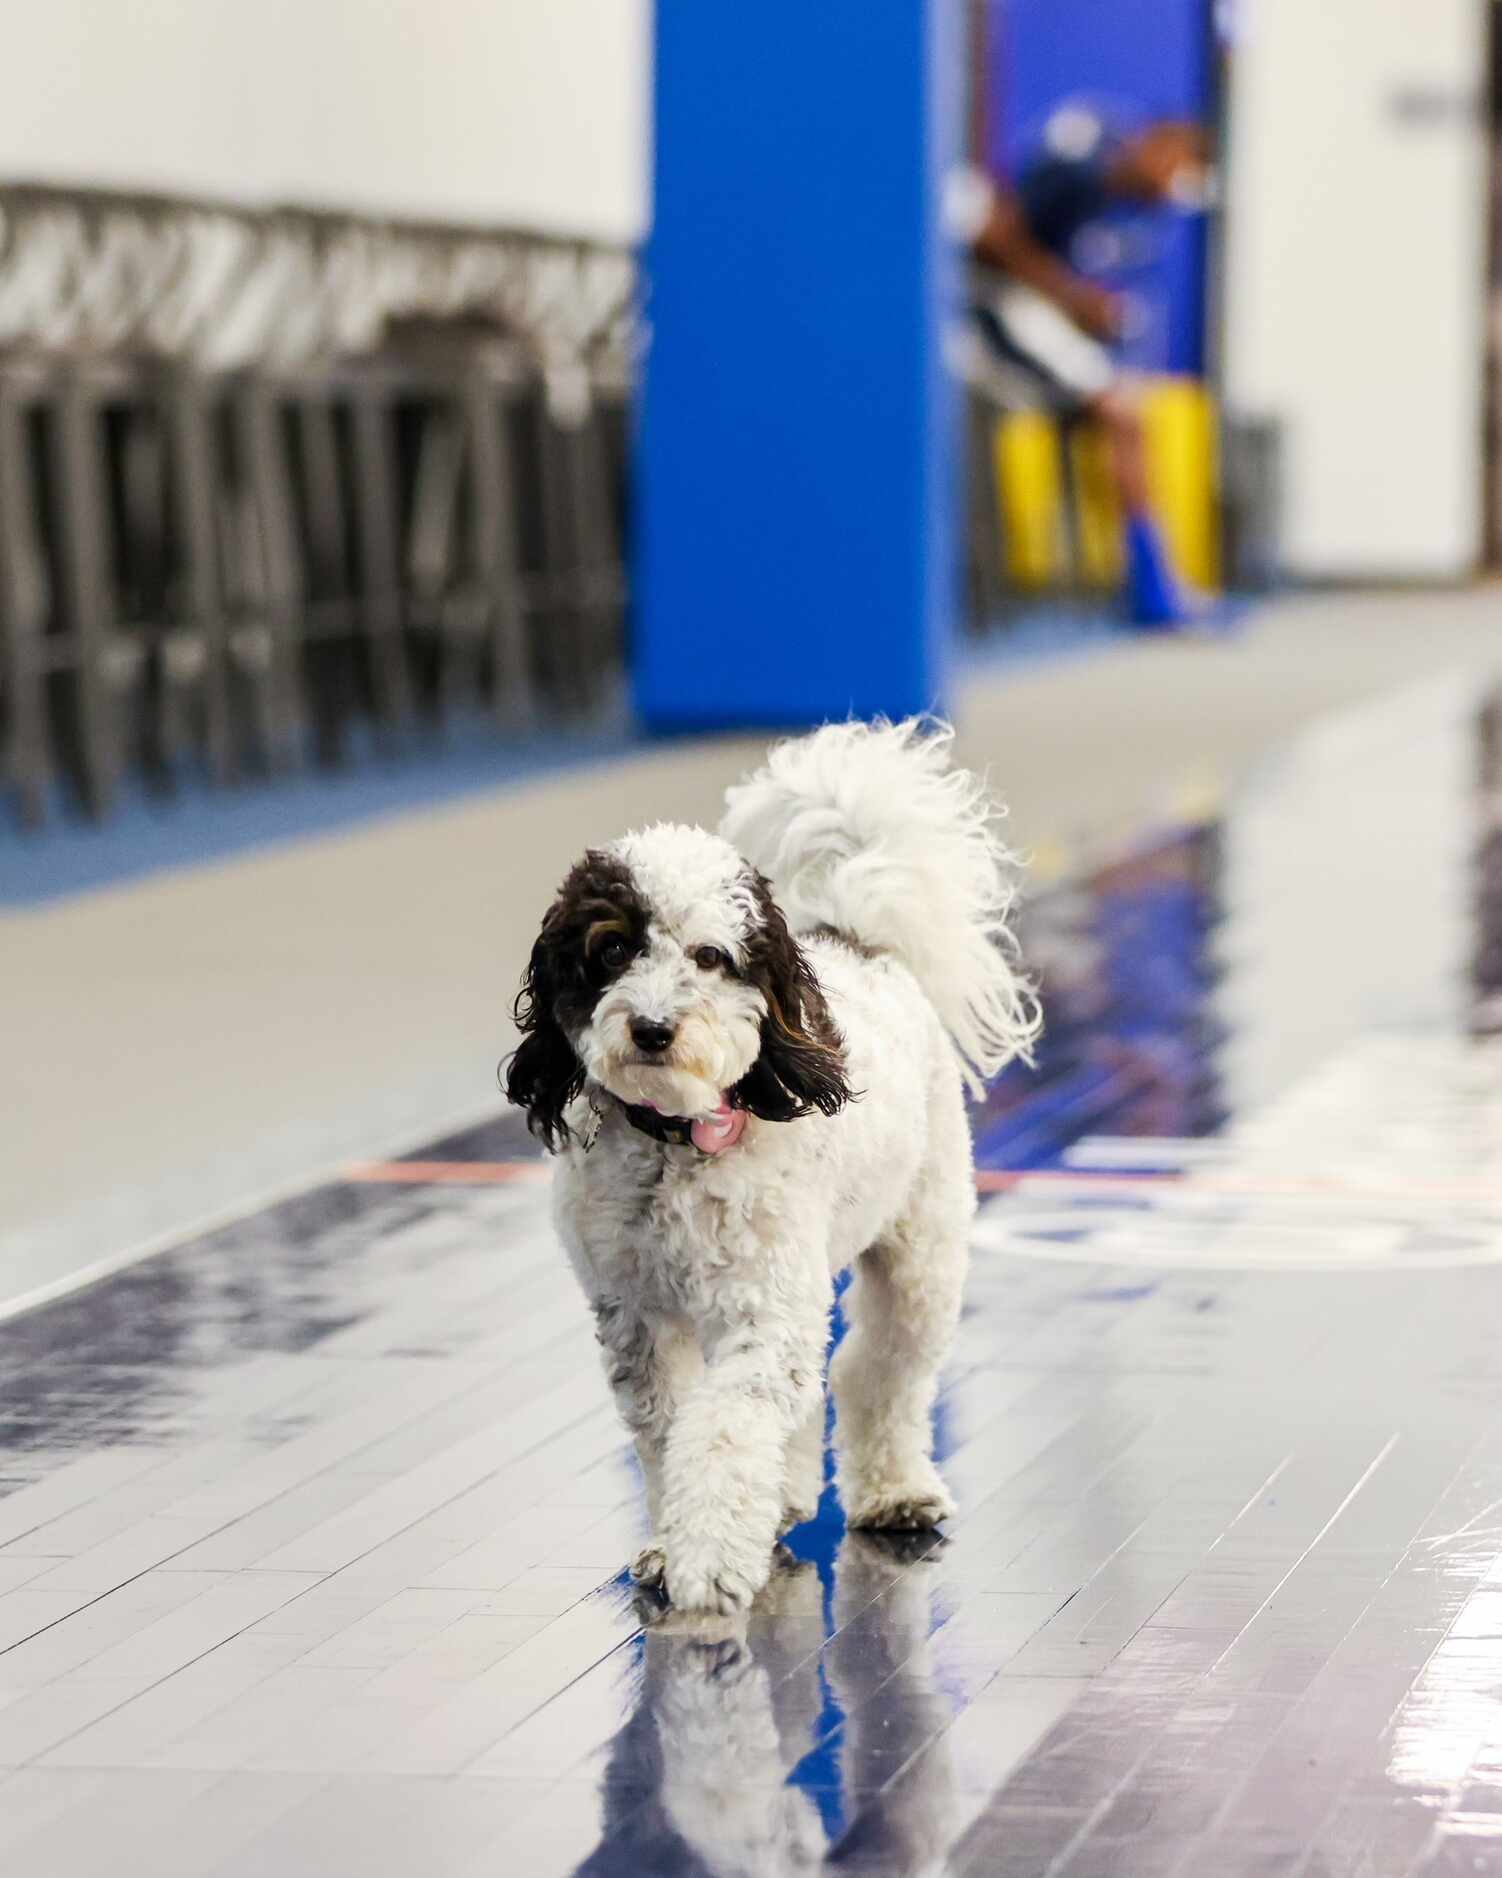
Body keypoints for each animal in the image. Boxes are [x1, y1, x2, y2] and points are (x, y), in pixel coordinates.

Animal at [510, 717, 1036, 1615]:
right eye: (610, 950)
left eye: (710, 956)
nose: (652, 1027)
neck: (677, 1142)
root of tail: (859, 936)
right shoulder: (636, 1315)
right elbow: (671, 1428)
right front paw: (671, 1544)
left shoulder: (762, 1307)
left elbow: (725, 1429)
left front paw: (708, 1560)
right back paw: (786, 1500)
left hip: (922, 1254)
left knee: (876, 1373)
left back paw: (894, 1491)